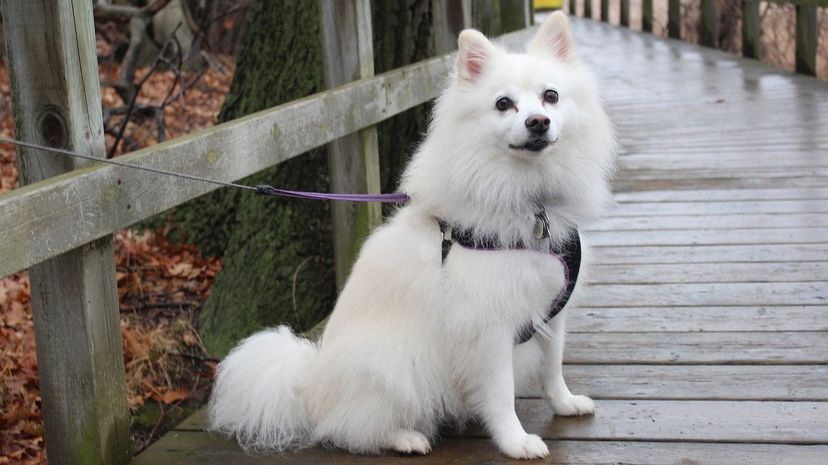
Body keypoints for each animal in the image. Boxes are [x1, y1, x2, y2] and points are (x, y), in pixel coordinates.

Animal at [210, 11, 616, 460]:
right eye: (503, 104)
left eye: (551, 97)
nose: (538, 122)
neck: (528, 199)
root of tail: (308, 389)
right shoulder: (488, 328)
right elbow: (501, 393)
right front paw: (516, 442)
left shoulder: (551, 308)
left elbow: (553, 366)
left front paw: (565, 404)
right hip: (391, 365)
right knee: (351, 430)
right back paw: (406, 438)